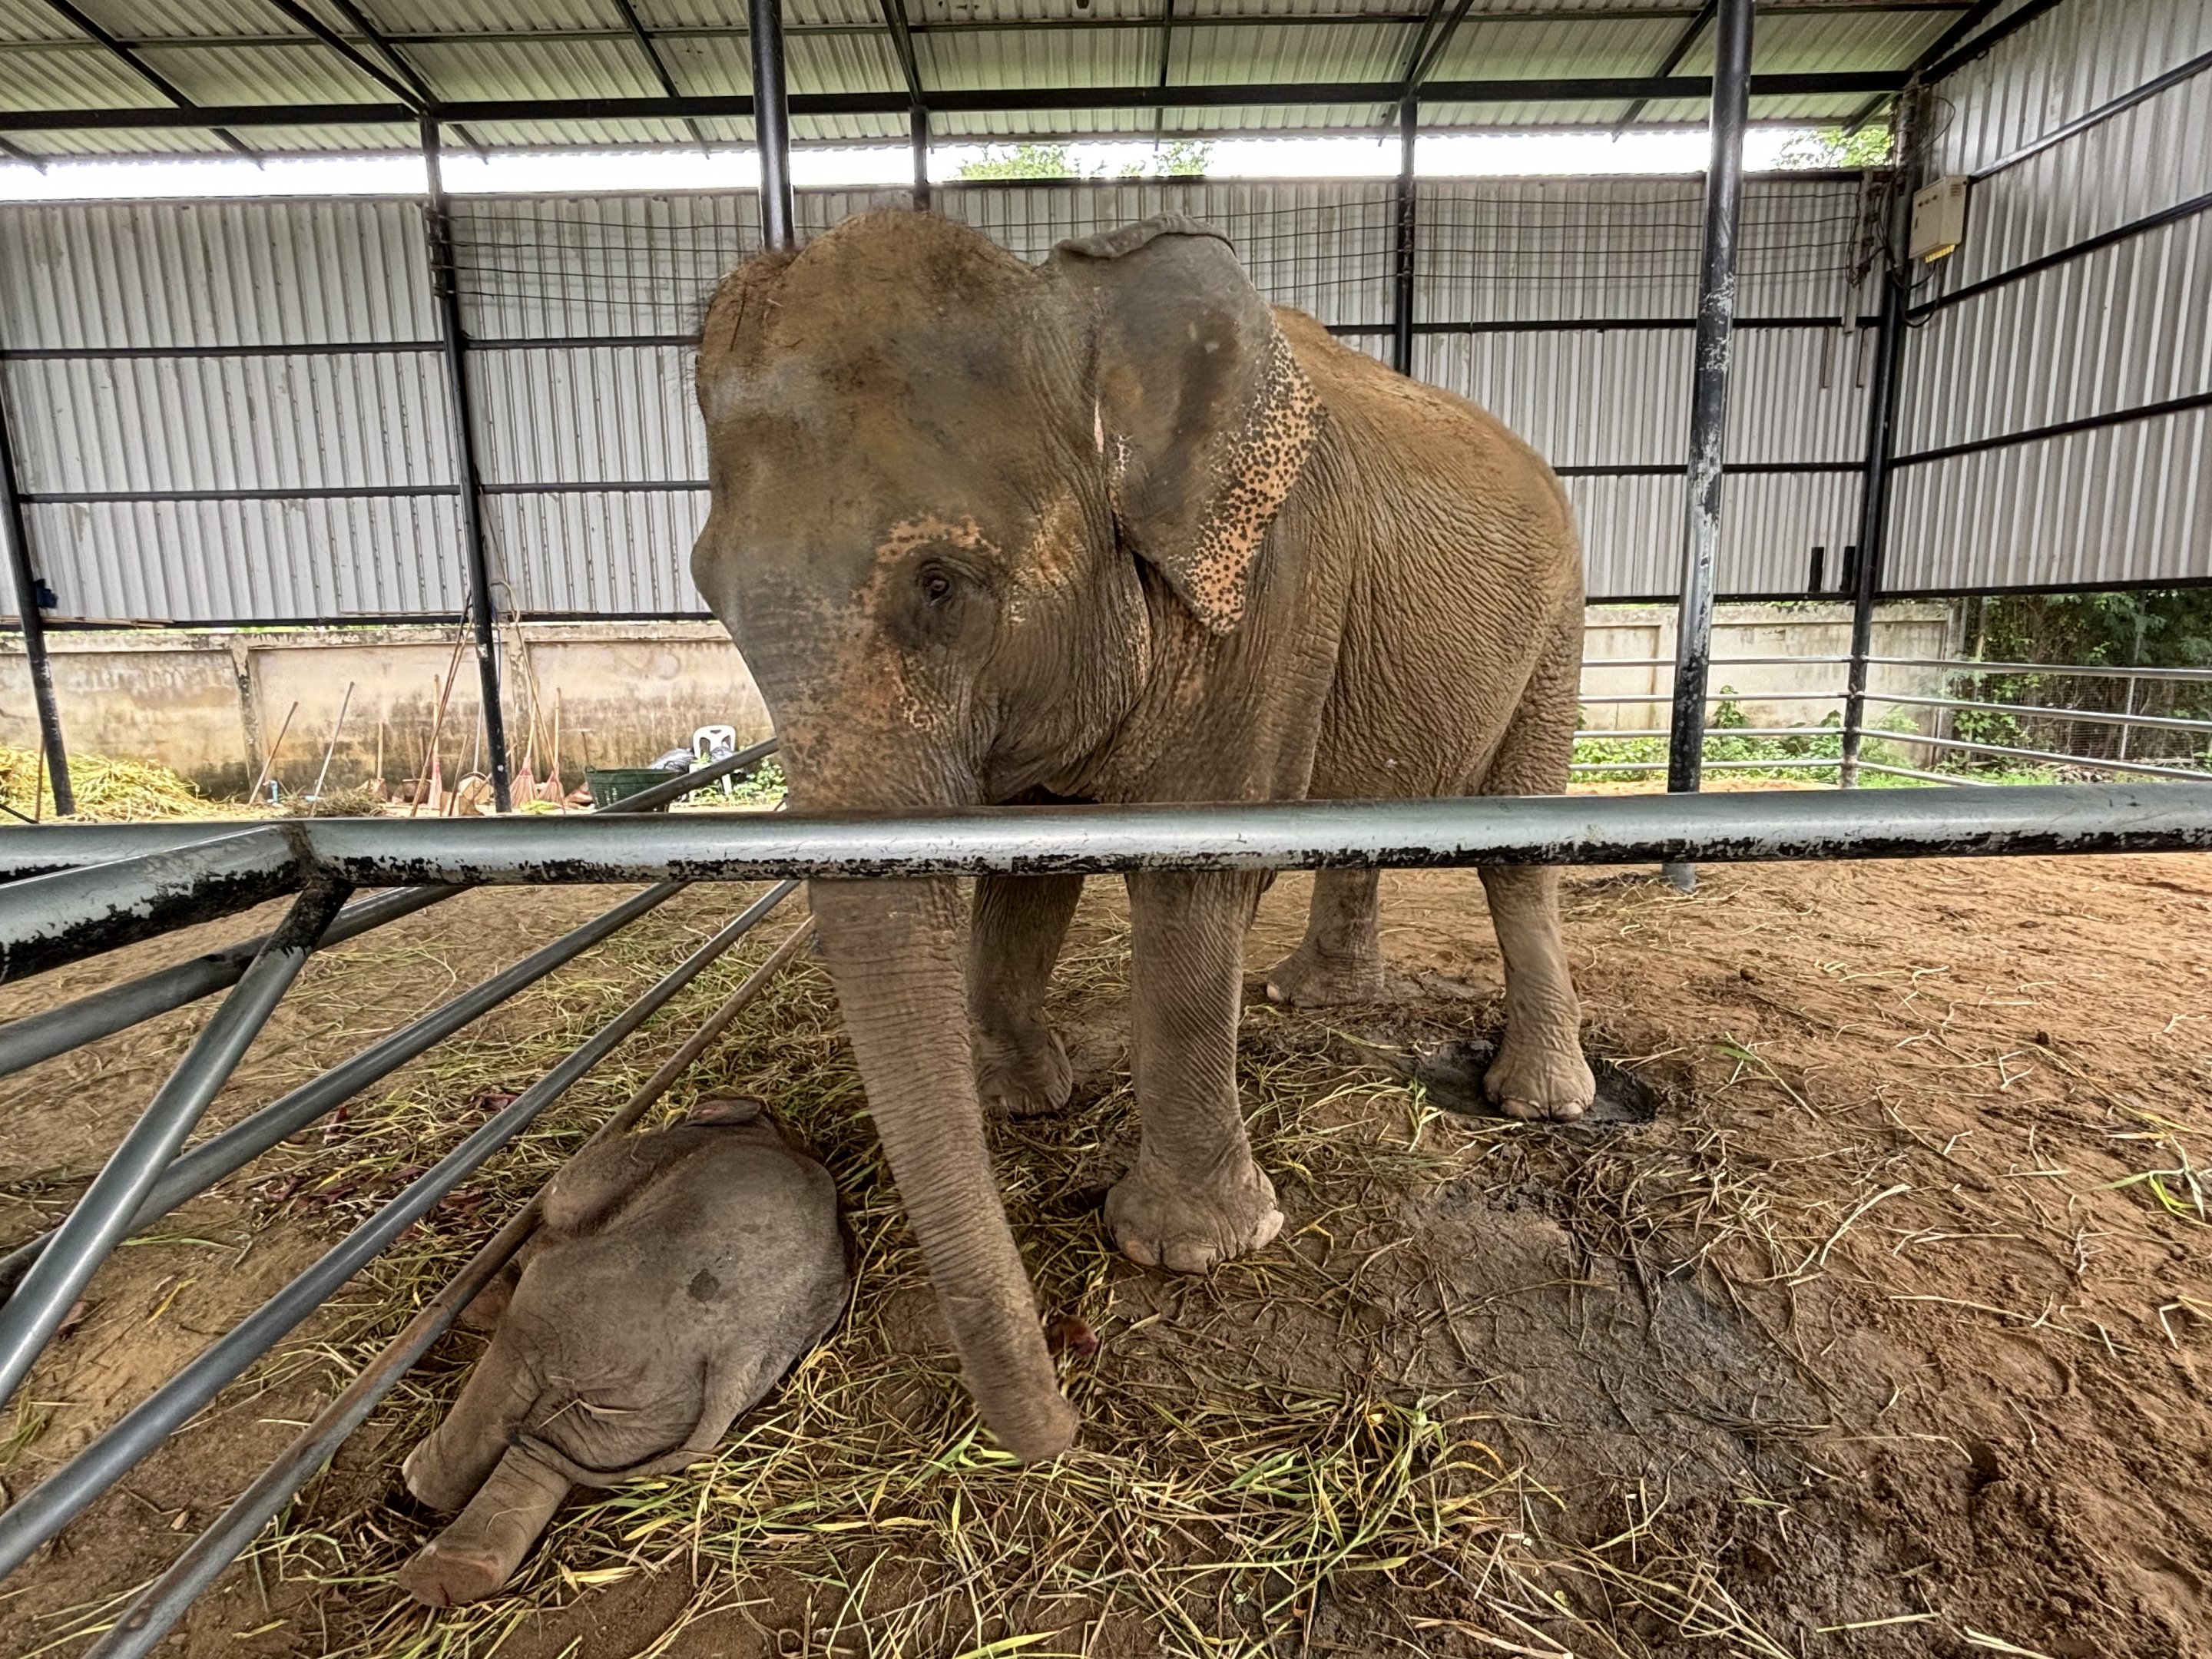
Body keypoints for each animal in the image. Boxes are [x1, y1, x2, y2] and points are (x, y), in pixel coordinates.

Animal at [394, 1099, 849, 1606]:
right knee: (562, 1439)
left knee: (522, 1362)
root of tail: (736, 1359)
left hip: (574, 1310)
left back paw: (419, 1482)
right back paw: (453, 1573)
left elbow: (561, 1200)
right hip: (655, 1409)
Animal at [689, 211, 1592, 1464]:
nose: (1061, 1427)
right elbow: (1028, 866)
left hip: (1560, 627)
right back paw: (1314, 999)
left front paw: (1191, 1250)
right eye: (707, 593)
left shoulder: (1269, 595)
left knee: (1517, 850)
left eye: (941, 586)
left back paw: (1540, 1102)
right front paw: (1021, 1104)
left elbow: (1189, 885)